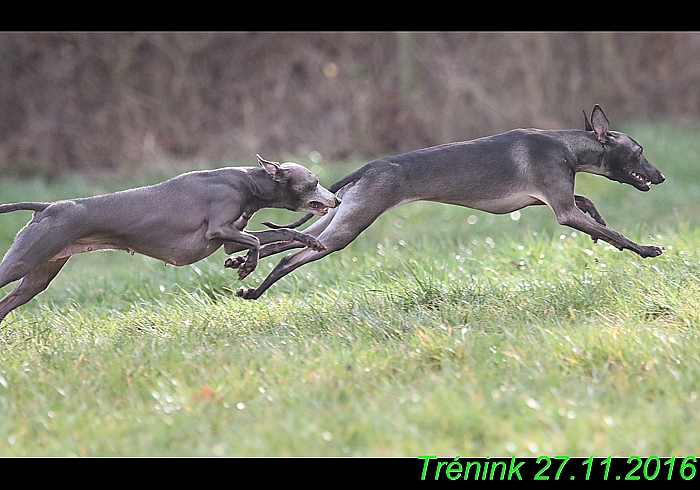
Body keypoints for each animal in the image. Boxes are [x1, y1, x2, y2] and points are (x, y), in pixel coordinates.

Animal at [0, 155, 340, 324]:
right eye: (315, 181)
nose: (336, 199)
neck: (248, 182)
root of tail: (46, 207)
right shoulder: (217, 230)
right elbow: (256, 243)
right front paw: (246, 267)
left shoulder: (230, 237)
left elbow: (278, 234)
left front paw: (310, 242)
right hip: (22, 261)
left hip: (38, 276)